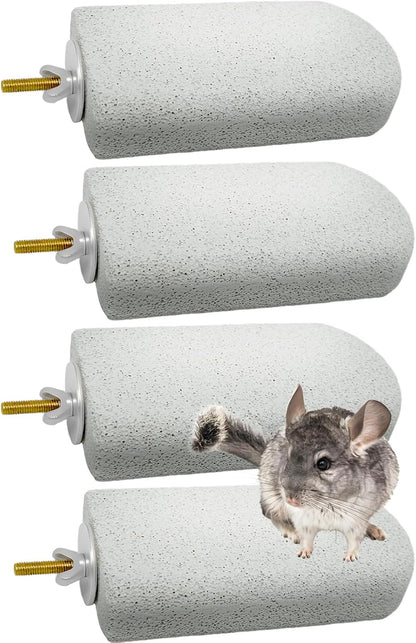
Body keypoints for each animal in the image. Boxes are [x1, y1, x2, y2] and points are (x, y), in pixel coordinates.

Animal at [192, 384, 399, 561]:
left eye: (323, 464)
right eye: (288, 455)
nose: (290, 499)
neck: (327, 505)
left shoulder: (357, 517)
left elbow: (354, 539)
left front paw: (351, 556)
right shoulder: (301, 519)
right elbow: (306, 537)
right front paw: (303, 550)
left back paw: (375, 530)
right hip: (271, 496)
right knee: (269, 513)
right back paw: (291, 532)